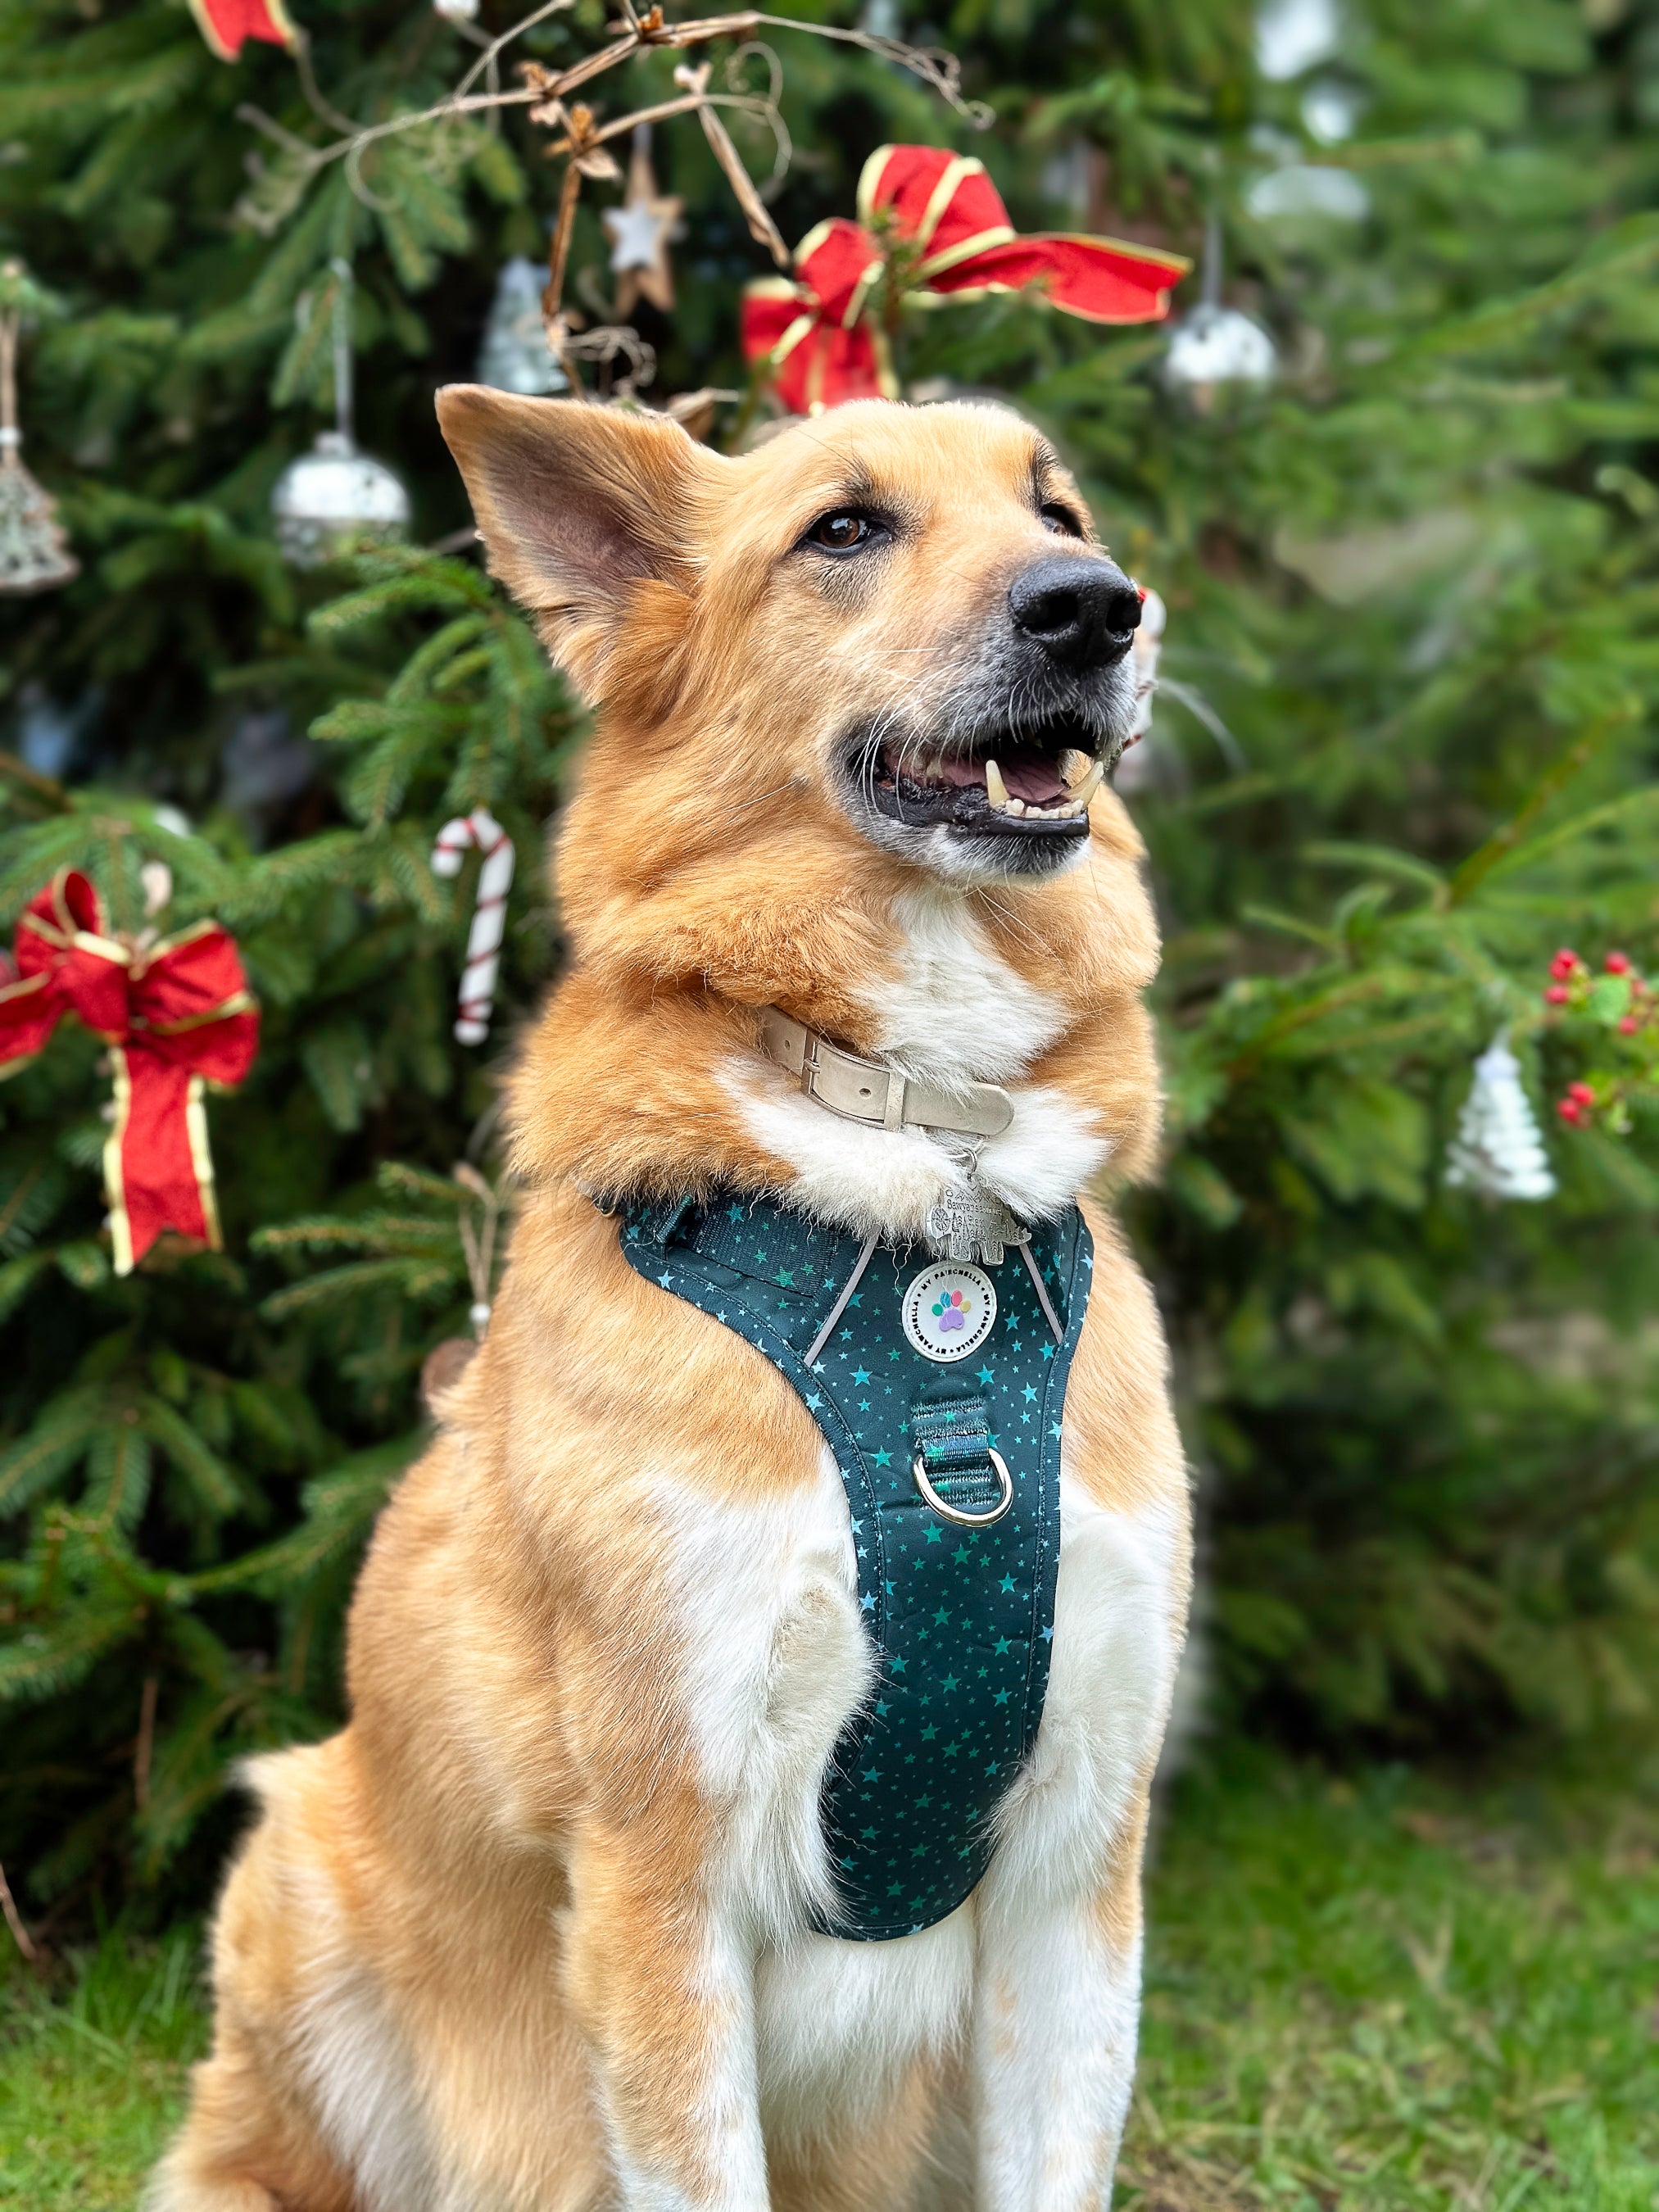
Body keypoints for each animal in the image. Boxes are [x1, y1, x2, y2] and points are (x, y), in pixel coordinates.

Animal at [153, 393, 1191, 2212]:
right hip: (304, 1884)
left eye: (1054, 508)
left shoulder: (1078, 1867)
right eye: (844, 528)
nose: (1096, 607)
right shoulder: (661, 1869)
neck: (920, 1208)